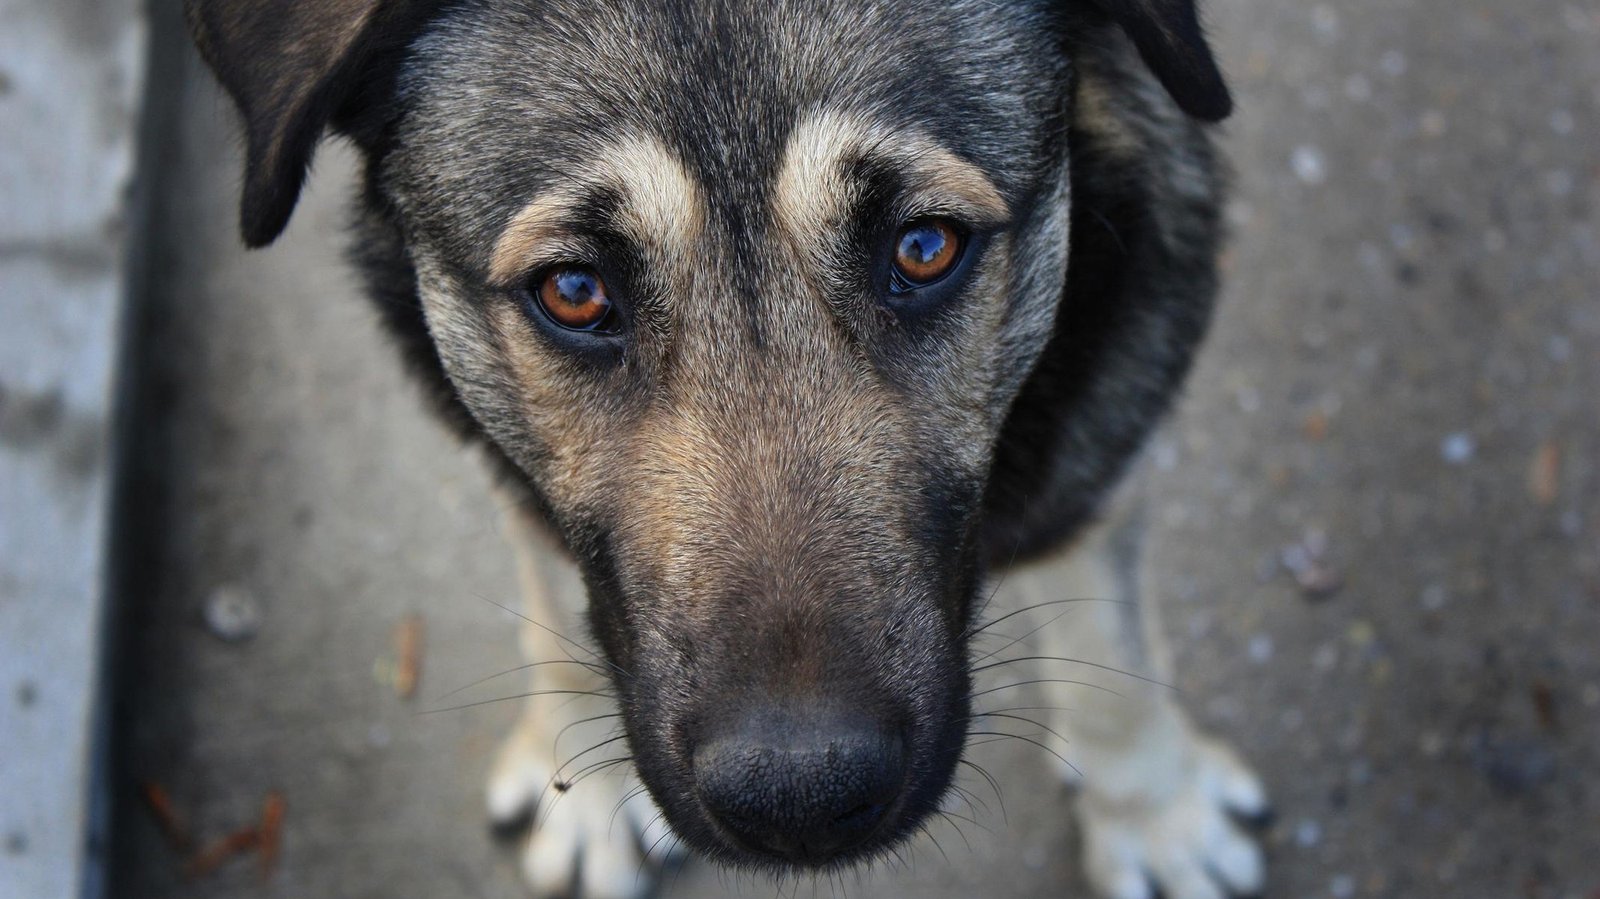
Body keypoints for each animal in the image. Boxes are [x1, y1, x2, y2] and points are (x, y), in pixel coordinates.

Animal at [184, 0, 1260, 889]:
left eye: (924, 248)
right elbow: (556, 602)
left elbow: (1112, 643)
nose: (802, 799)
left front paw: (1153, 812)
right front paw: (581, 773)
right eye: (574, 291)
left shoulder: (1103, 432)